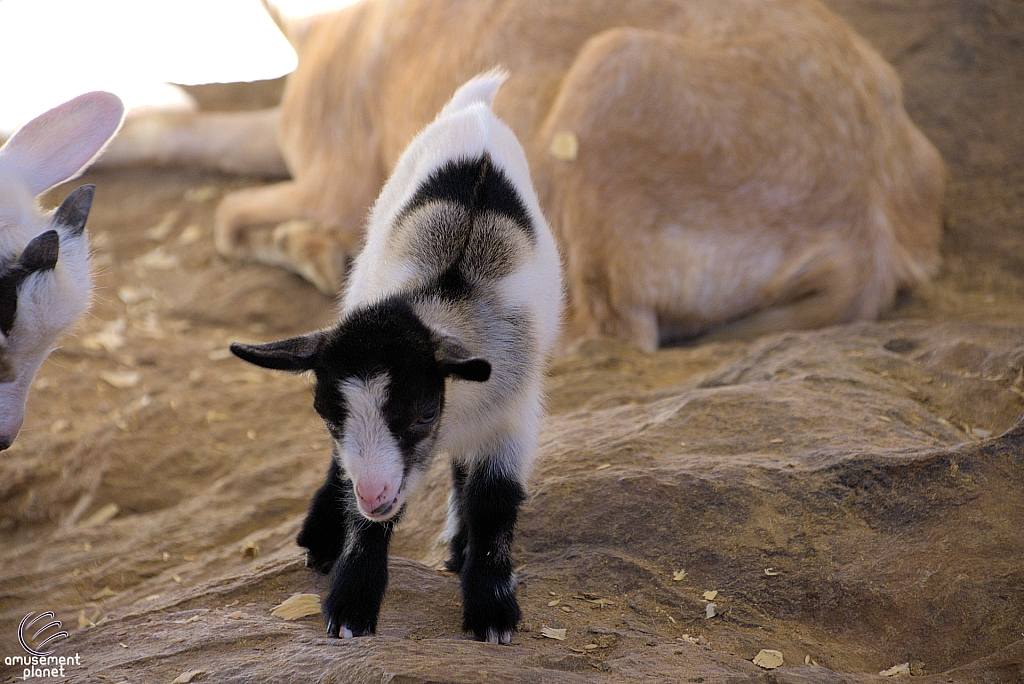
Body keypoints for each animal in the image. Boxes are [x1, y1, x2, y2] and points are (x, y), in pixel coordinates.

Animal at [103, 0, 942, 352]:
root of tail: (871, 237)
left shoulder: (334, 177)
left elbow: (229, 214)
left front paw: (323, 256)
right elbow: (180, 129)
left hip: (607, 75)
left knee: (606, 334)